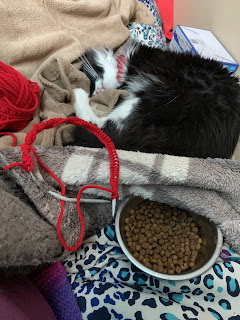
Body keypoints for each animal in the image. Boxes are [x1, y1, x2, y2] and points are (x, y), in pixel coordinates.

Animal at [72, 43, 240, 158]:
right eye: (93, 89)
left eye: (91, 84)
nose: (97, 91)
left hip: (157, 96)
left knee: (98, 124)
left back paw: (78, 94)